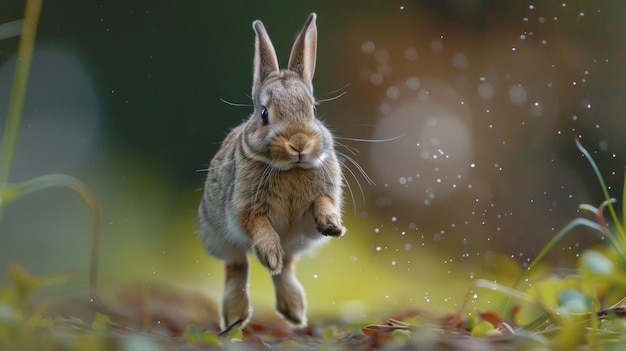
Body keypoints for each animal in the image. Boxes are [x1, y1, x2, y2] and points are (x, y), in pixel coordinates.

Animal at [197, 13, 344, 332]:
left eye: (314, 110)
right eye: (264, 114)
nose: (299, 142)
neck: (291, 168)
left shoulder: (319, 201)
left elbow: (322, 203)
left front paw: (332, 225)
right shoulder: (245, 209)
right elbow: (258, 224)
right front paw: (268, 253)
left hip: (295, 244)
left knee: (285, 268)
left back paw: (294, 311)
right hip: (220, 238)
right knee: (238, 266)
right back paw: (237, 316)